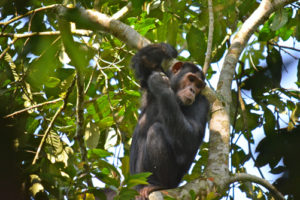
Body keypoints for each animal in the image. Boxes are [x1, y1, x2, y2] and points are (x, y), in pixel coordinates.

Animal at [130, 43, 210, 198]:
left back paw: (157, 185)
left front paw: (162, 88)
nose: (192, 90)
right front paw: (166, 49)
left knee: (156, 130)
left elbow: (191, 138)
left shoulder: (202, 103)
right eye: (191, 79)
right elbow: (143, 63)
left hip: (172, 181)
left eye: (198, 85)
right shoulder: (148, 80)